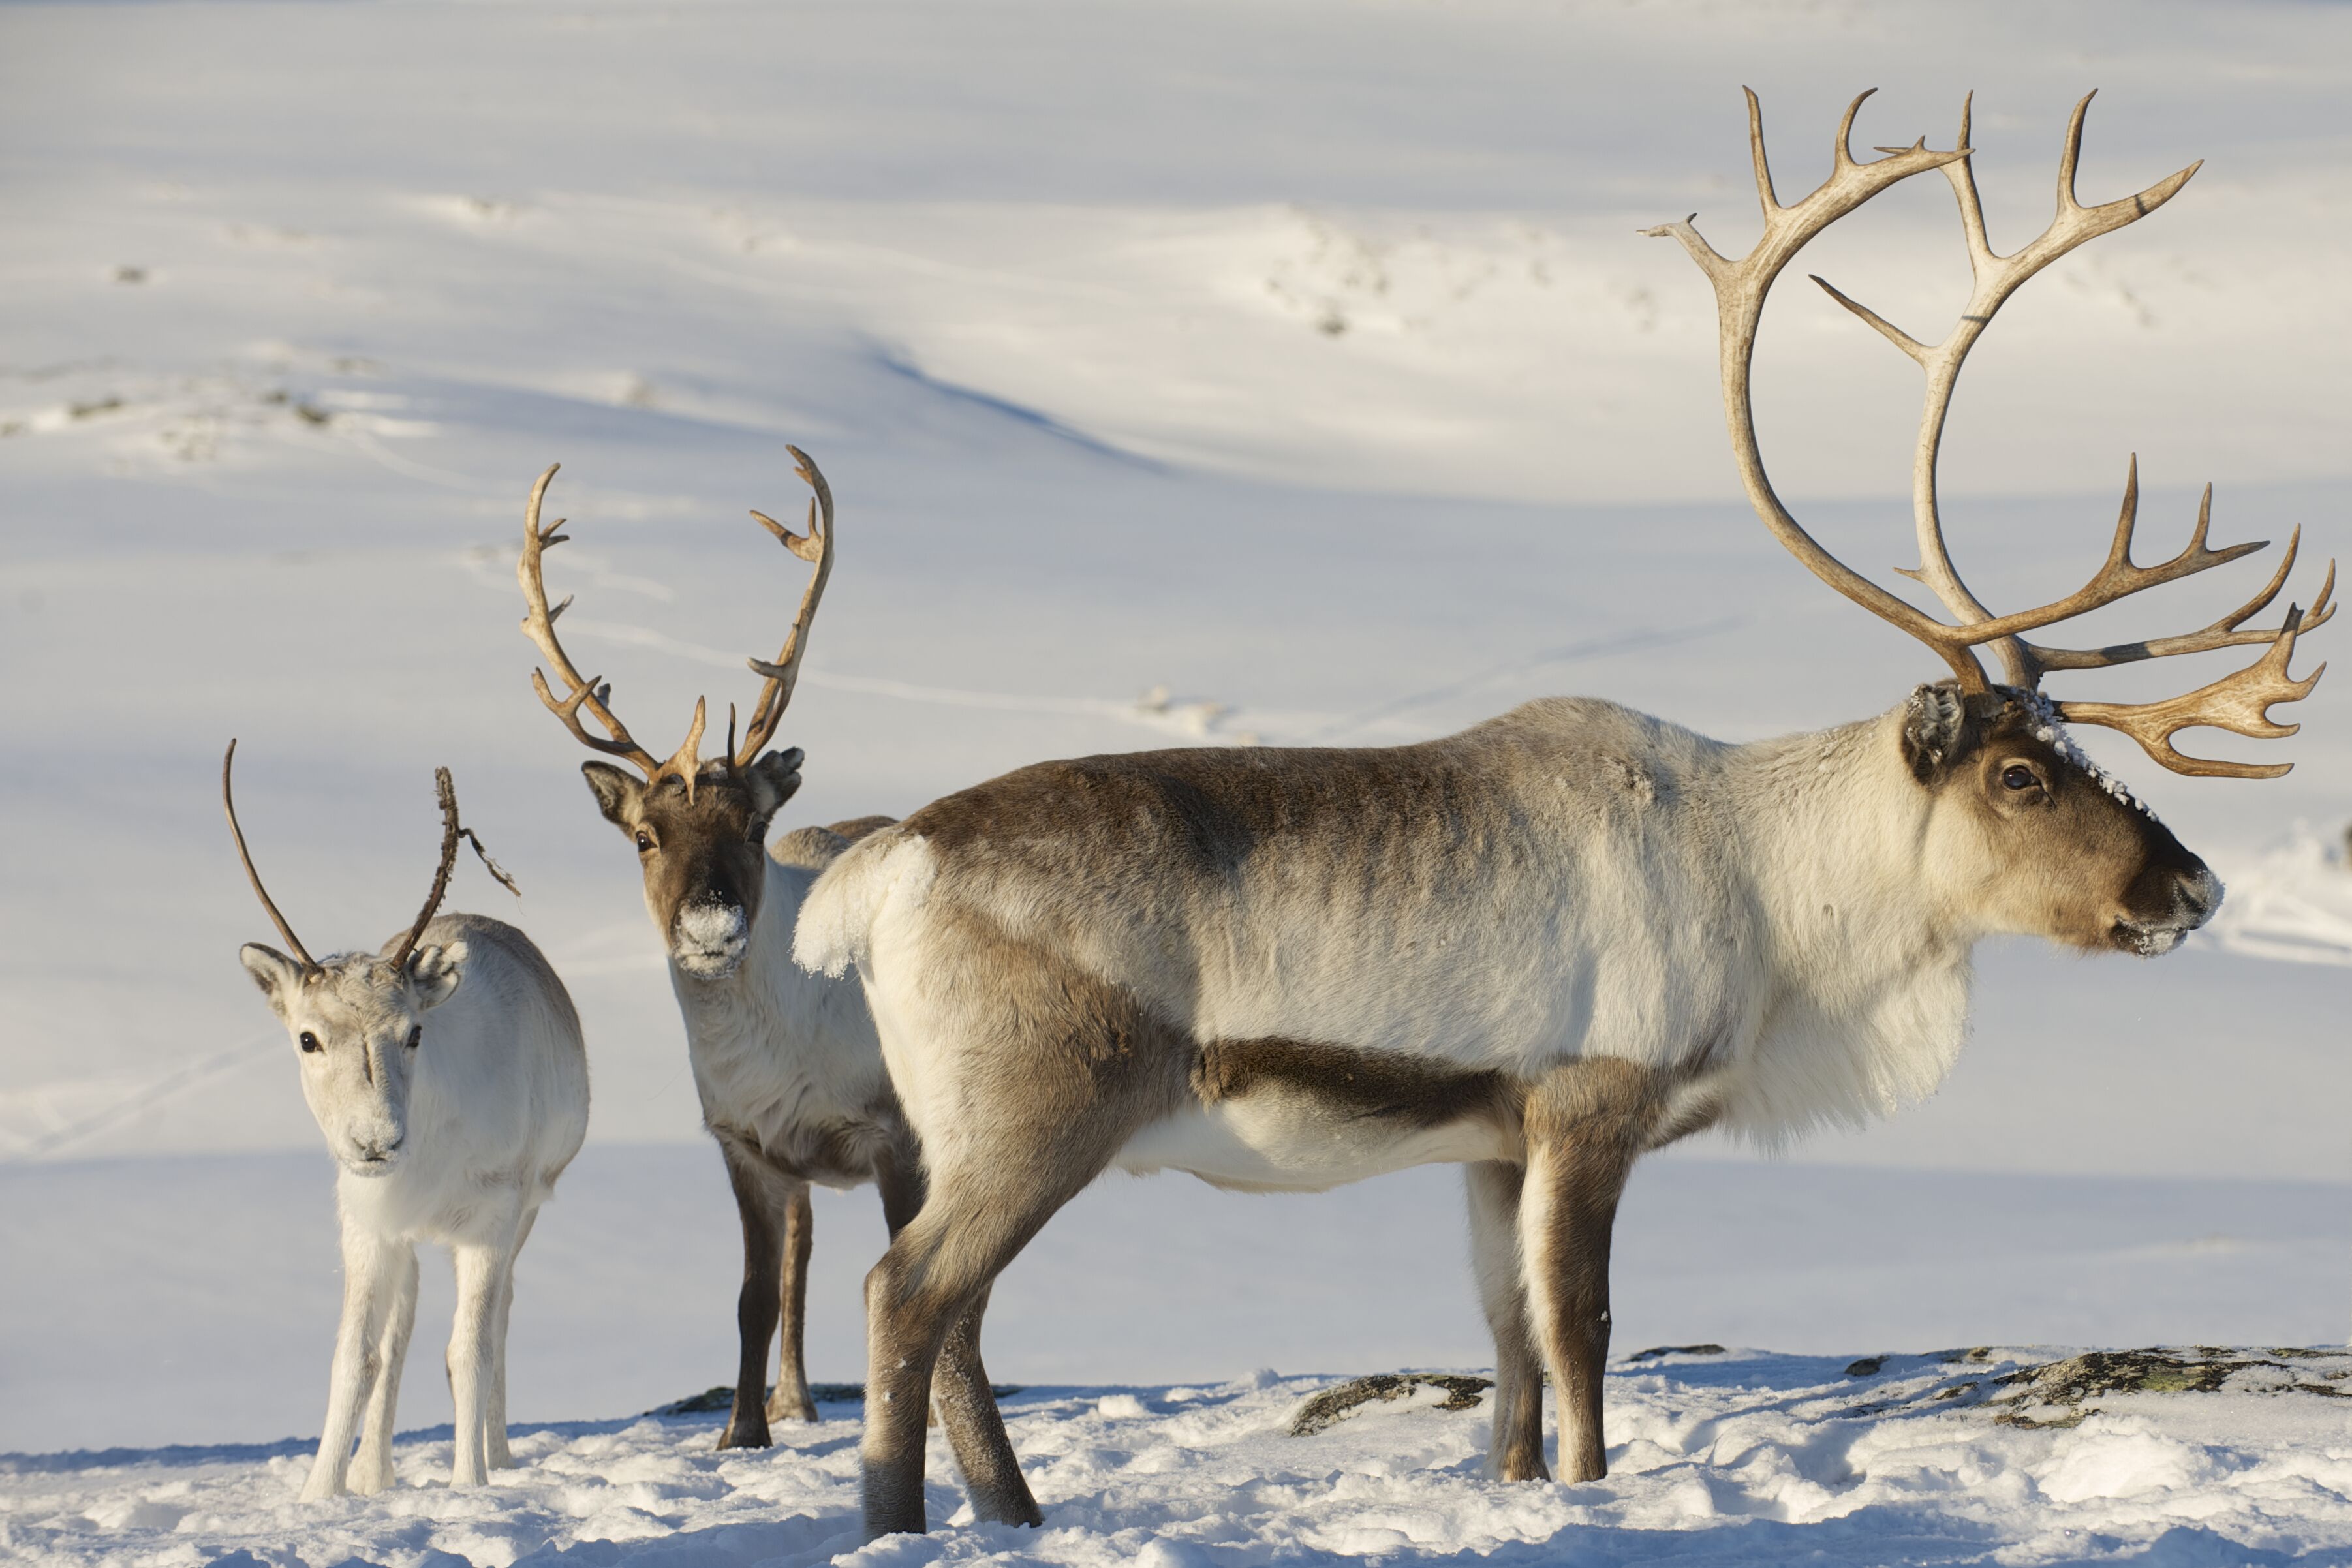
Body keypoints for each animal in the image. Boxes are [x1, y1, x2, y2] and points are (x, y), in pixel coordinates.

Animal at [224, 744, 589, 1499]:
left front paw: (469, 1485)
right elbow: (356, 1355)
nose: (376, 1142)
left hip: (525, 1211)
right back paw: (373, 1474)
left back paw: (499, 1457)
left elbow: (469, 1352)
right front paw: (320, 1493)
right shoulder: (366, 1221)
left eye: (414, 1032)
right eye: (307, 1038)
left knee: (498, 1320)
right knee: (401, 1329)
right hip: (407, 1237)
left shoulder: (492, 1217)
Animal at [517, 449, 1006, 1456]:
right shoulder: (744, 1143)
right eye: (645, 837)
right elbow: (751, 1295)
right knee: (800, 1262)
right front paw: (741, 1432)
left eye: (751, 825)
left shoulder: (893, 1134)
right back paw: (796, 1399)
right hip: (800, 1172)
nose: (710, 926)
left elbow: (914, 1279)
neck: (774, 1047)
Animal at [793, 90, 2333, 1538]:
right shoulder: (1591, 1101)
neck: (1778, 899)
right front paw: (1594, 1492)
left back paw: (1014, 1514)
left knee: (958, 1321)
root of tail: (883, 864)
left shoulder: (1489, 1139)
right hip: (1036, 1111)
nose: (2187, 888)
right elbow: (1581, 1334)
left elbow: (1507, 1356)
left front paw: (1517, 1490)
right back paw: (902, 1522)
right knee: (905, 1294)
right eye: (2017, 776)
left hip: (957, 1133)